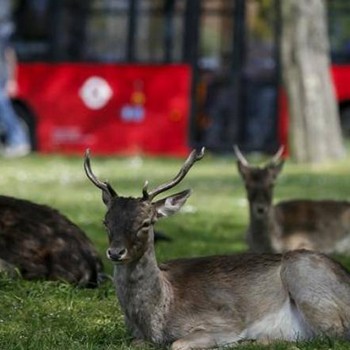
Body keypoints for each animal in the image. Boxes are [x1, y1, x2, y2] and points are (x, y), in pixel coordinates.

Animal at [84, 148, 350, 350]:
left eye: (146, 223)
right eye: (106, 222)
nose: (115, 252)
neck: (156, 320)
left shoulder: (225, 320)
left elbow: (178, 344)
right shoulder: (136, 336)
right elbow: (135, 343)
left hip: (304, 276)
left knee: (331, 334)